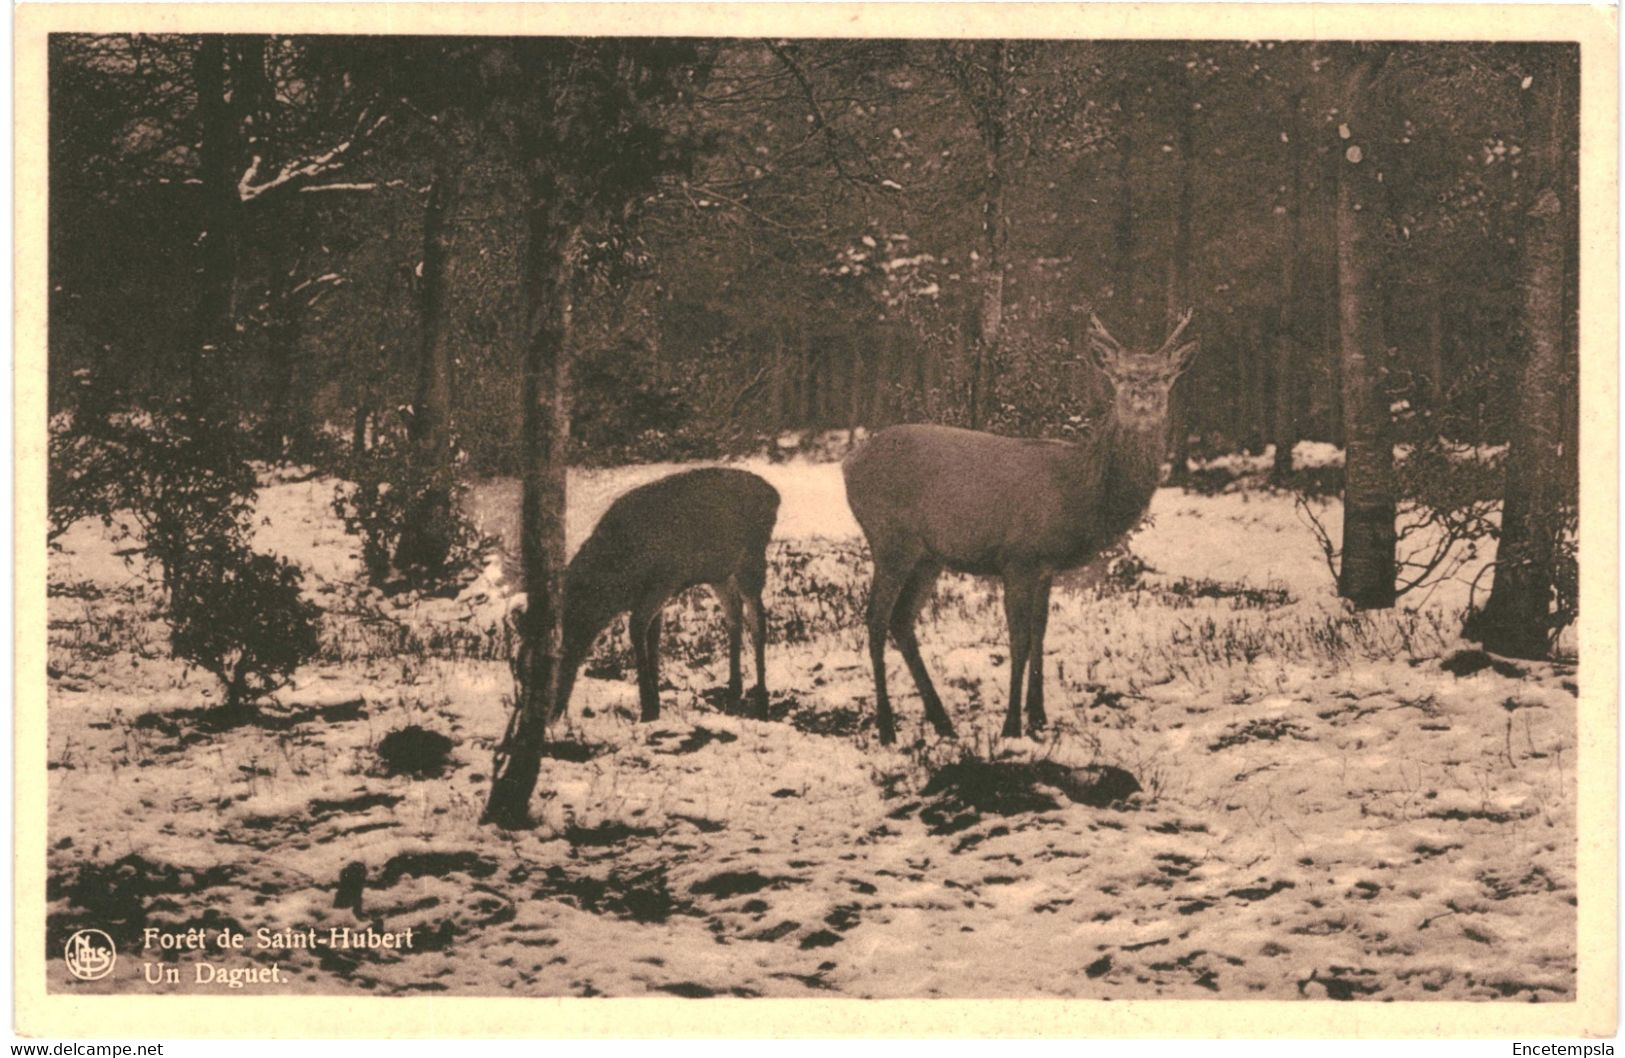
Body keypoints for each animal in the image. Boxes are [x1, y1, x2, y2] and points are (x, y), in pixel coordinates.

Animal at [546, 468, 780, 724]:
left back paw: (761, 701)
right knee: (734, 615)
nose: (553, 711)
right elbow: (653, 635)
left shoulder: (664, 582)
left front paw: (648, 707)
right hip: (719, 573)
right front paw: (655, 701)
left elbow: (637, 628)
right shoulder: (652, 595)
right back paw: (733, 690)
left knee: (758, 620)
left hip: (751, 558)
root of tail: (775, 496)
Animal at [845, 312, 1202, 744]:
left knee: (901, 620)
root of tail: (848, 463)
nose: (1142, 394)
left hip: (928, 556)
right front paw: (1012, 724)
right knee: (875, 619)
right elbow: (1018, 640)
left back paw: (943, 722)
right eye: (1118, 375)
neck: (1079, 491)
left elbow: (1040, 635)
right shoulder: (1018, 558)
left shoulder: (1045, 567)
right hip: (889, 540)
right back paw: (886, 727)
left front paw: (1039, 718)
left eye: (1165, 376)